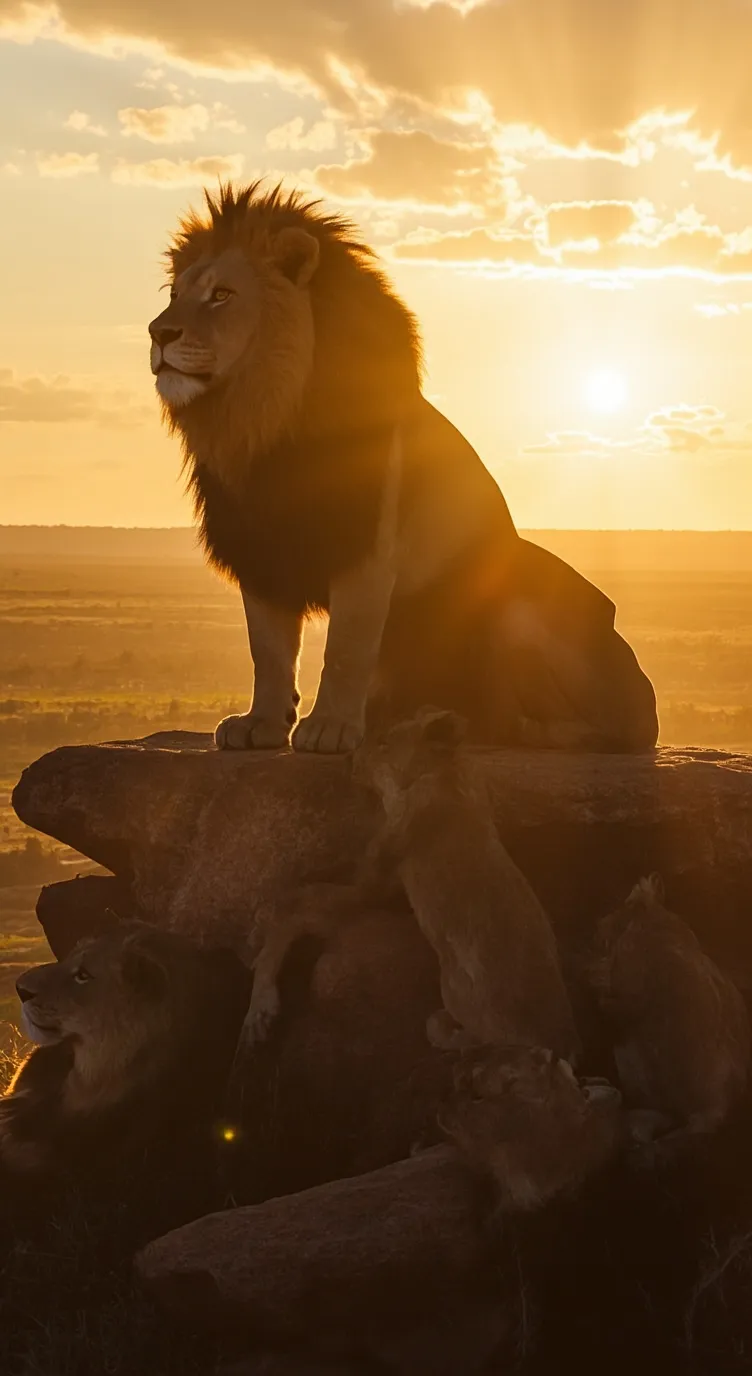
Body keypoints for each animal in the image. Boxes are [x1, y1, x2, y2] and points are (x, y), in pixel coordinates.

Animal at [148, 181, 658, 756]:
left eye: (222, 295)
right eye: (174, 293)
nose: (158, 333)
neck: (262, 419)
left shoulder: (367, 544)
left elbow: (347, 648)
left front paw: (331, 729)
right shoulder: (259, 549)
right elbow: (270, 651)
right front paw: (261, 724)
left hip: (519, 610)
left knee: (586, 732)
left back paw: (477, 726)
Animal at [353, 707, 580, 1063]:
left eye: (385, 742)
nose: (351, 760)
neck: (442, 771)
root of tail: (563, 1043)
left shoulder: (398, 829)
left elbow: (370, 868)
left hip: (453, 988)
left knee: (474, 1039)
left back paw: (440, 1027)